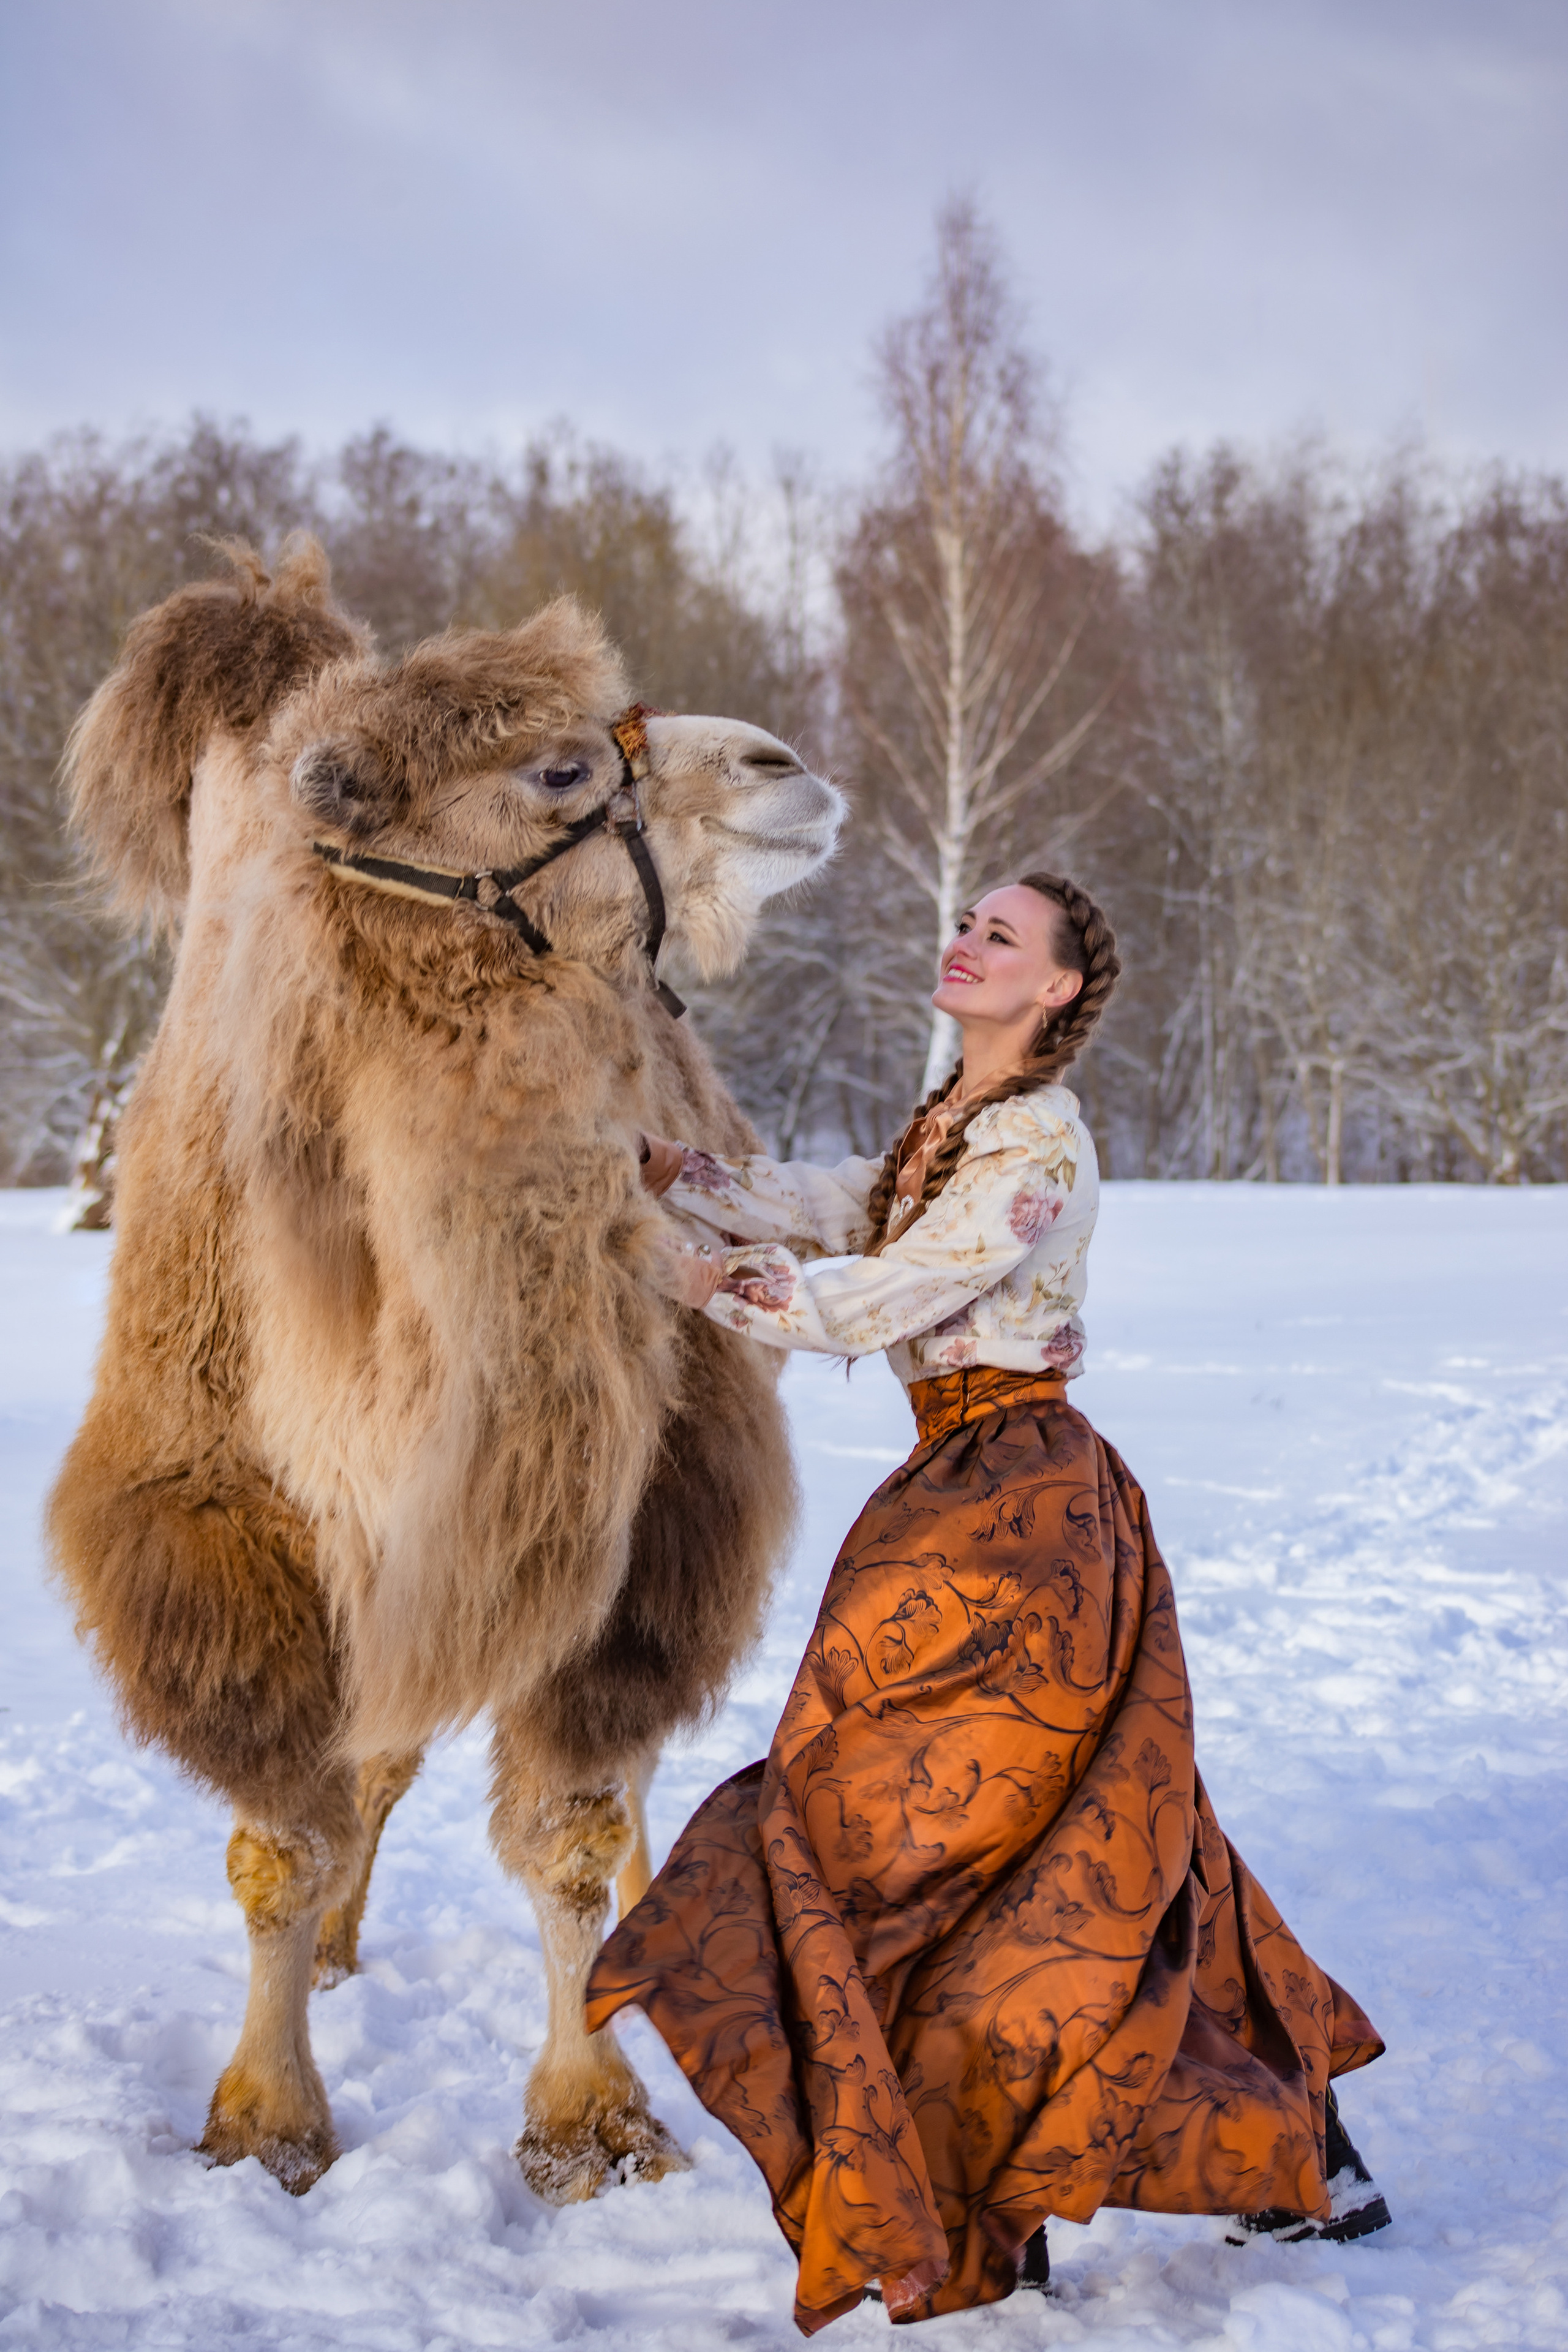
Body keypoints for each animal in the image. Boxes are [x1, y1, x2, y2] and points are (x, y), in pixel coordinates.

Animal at [47, 537, 843, 2203]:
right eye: (557, 767)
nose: (784, 768)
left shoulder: (630, 1520)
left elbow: (569, 1828)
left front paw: (593, 2116)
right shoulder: (219, 1528)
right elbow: (281, 1842)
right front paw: (267, 2118)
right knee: (373, 1766)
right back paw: (346, 1951)